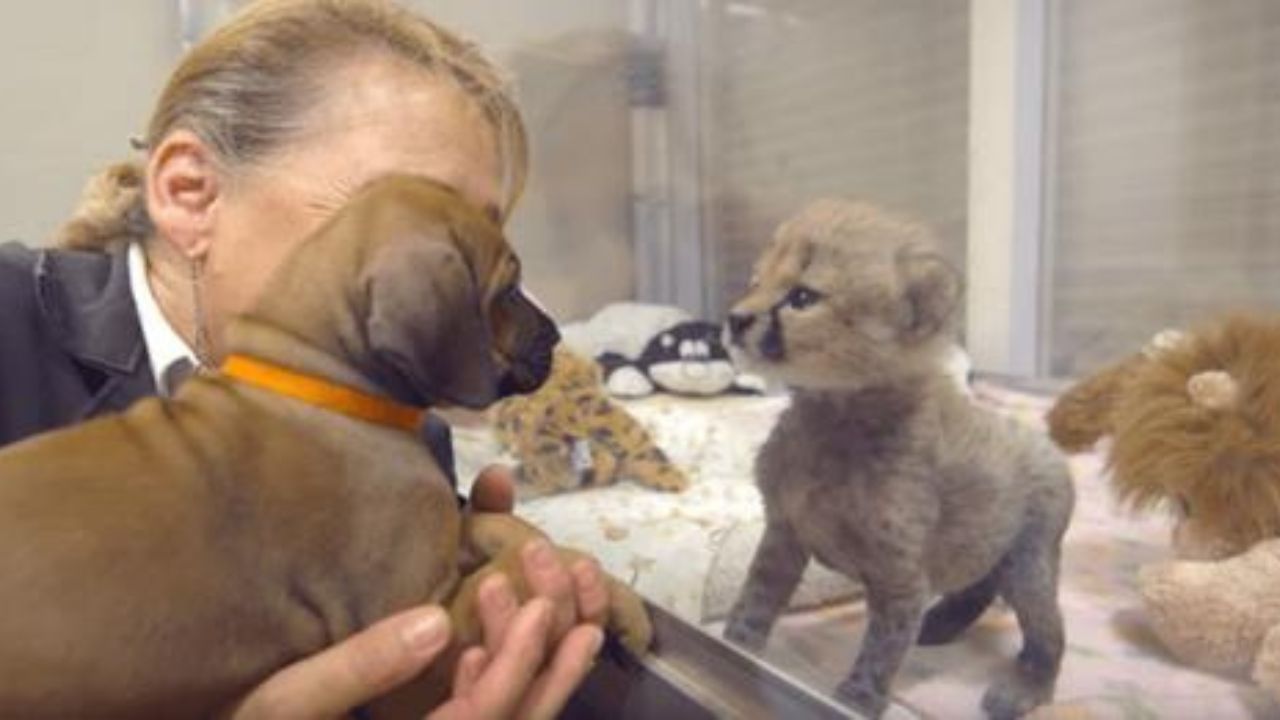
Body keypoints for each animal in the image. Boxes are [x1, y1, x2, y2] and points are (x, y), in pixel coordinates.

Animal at [0, 175, 645, 717]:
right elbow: (513, 573)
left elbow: (501, 529)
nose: (557, 336)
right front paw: (578, 575)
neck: (321, 383)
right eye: (509, 287)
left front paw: (613, 597)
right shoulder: (419, 639)